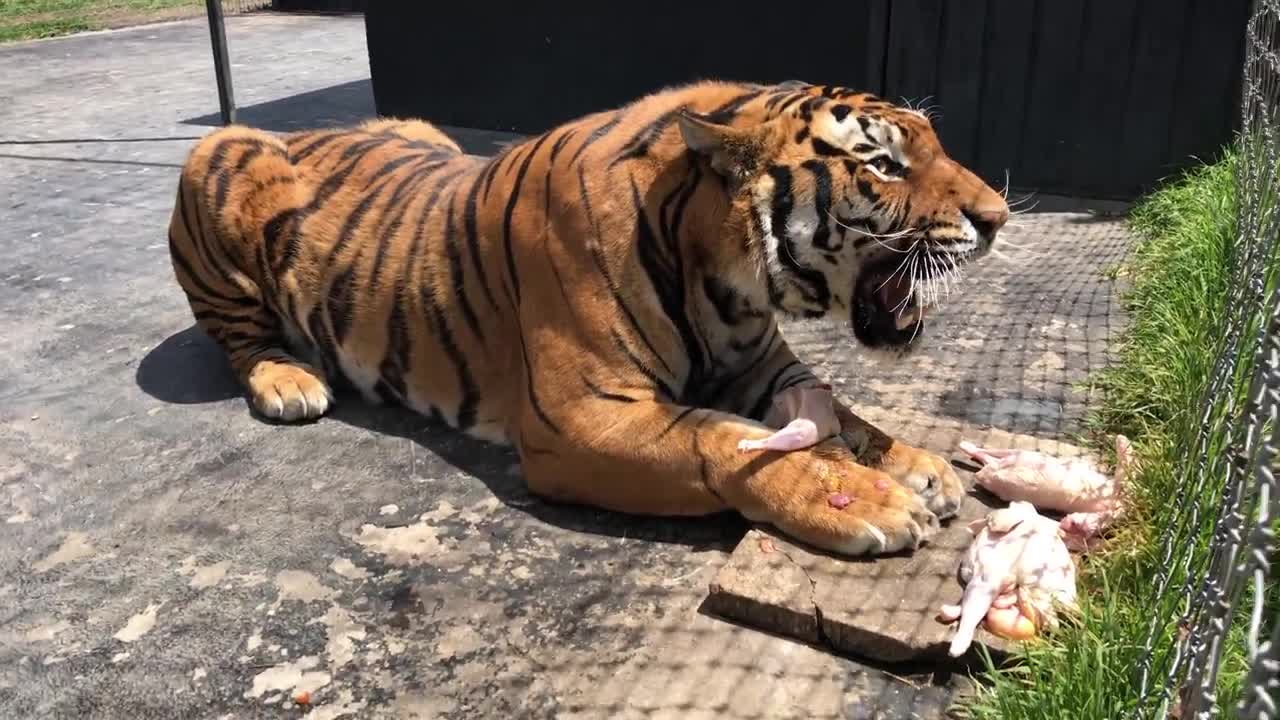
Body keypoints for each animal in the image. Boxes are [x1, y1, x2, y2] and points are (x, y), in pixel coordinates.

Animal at [167, 78, 1008, 556]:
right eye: (884, 165)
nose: (999, 219)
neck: (724, 281)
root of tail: (301, 130)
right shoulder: (577, 416)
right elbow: (723, 443)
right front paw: (868, 500)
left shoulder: (764, 365)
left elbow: (848, 417)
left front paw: (919, 466)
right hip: (219, 158)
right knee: (238, 336)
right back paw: (288, 380)